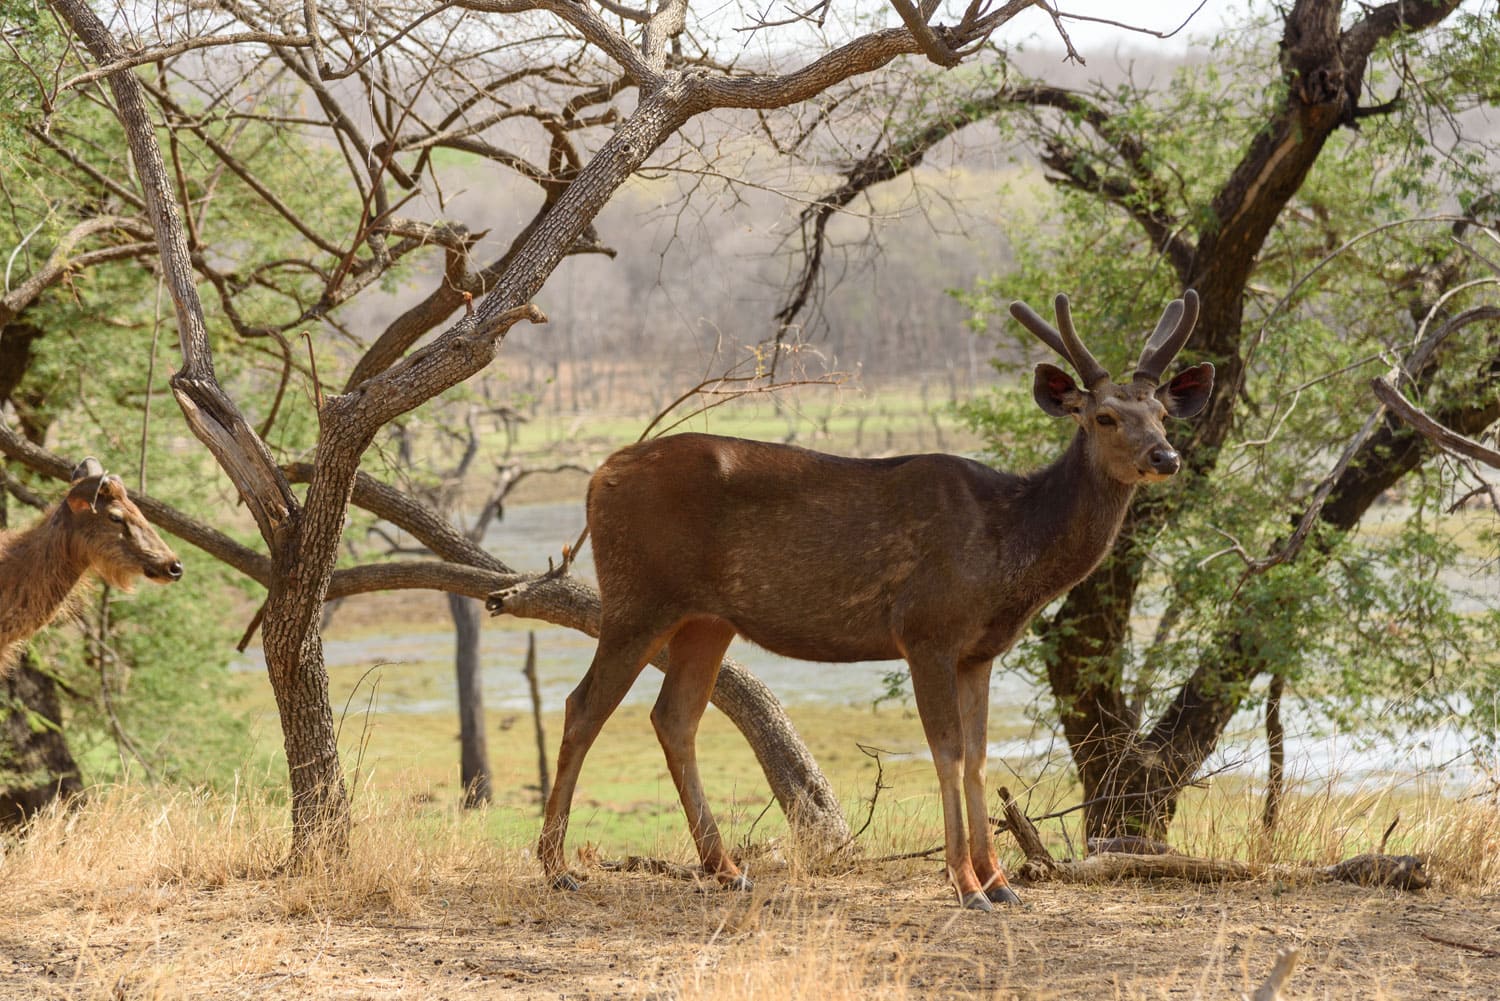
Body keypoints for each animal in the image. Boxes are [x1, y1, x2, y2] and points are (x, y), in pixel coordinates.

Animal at [510, 288, 1212, 906]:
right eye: (1104, 416)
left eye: (1162, 414)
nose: (1166, 457)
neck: (1009, 549)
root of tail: (597, 477)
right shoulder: (926, 628)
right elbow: (948, 753)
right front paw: (966, 886)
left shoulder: (980, 651)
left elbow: (981, 759)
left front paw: (1001, 882)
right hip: (639, 594)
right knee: (583, 706)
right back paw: (557, 868)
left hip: (707, 618)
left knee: (673, 716)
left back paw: (727, 868)